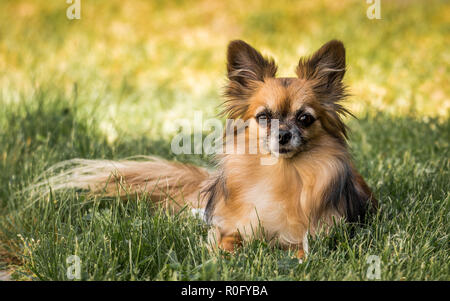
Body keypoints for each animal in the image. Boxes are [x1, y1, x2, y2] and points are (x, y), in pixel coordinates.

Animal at [35, 39, 378, 258]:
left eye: (305, 118)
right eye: (264, 117)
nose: (283, 135)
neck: (280, 173)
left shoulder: (317, 237)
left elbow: (300, 251)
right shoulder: (229, 225)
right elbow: (225, 239)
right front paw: (224, 255)